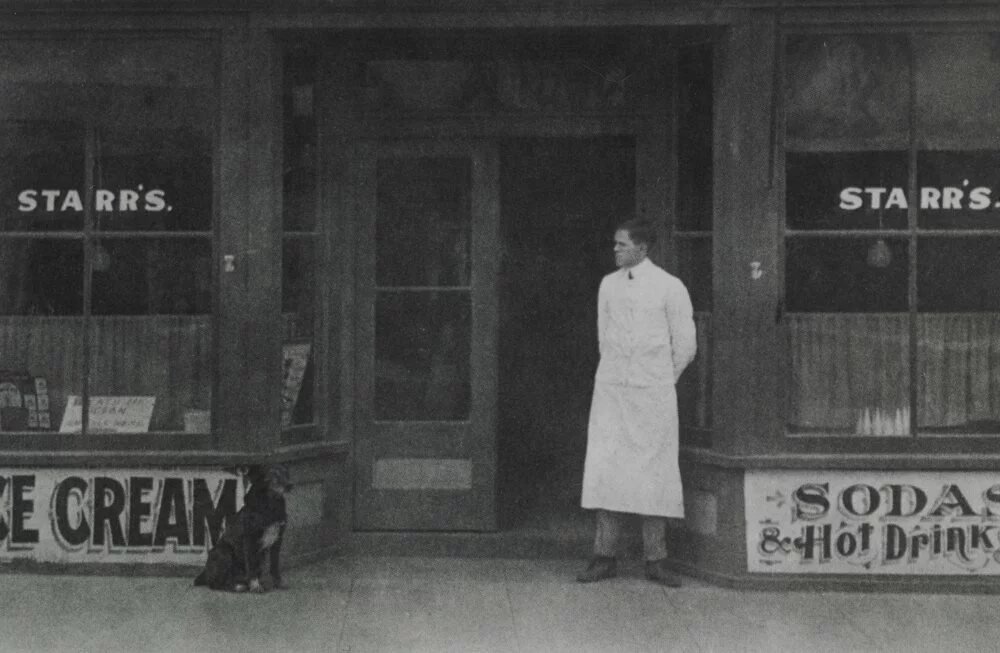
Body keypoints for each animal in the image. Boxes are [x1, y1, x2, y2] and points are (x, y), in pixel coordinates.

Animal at [193, 464, 292, 592]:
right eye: (273, 474)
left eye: (286, 473)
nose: (290, 485)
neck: (270, 505)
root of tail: (205, 573)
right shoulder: (250, 540)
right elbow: (252, 566)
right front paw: (255, 586)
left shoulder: (277, 541)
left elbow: (274, 566)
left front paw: (278, 583)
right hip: (224, 552)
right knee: (215, 584)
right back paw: (237, 587)